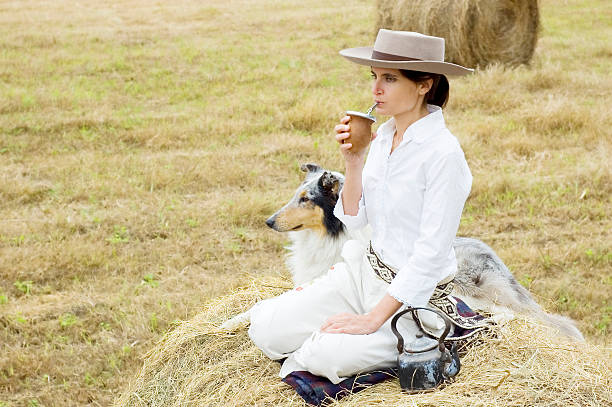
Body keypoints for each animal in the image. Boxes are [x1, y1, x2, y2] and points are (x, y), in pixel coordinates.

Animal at [221, 163, 584, 342]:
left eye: (305, 199)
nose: (269, 221)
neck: (331, 235)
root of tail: (495, 259)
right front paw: (230, 320)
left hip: (472, 291)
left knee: (512, 315)